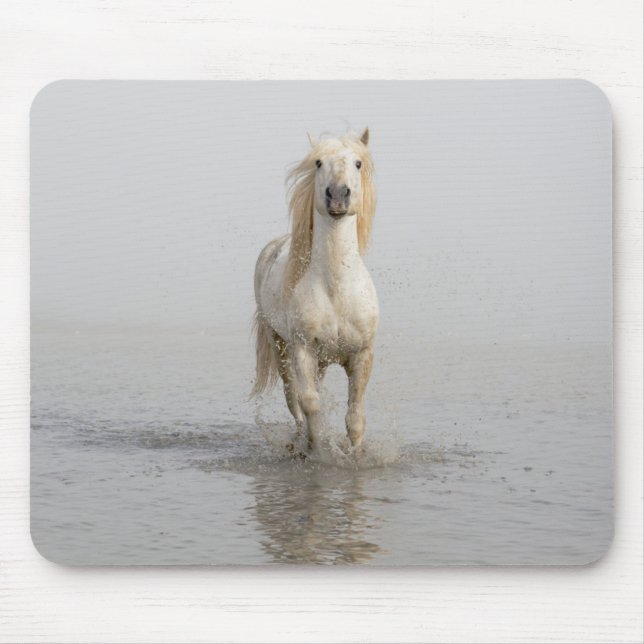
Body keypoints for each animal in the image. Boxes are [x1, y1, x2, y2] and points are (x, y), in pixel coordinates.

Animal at [251, 128, 378, 454]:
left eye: (358, 163)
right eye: (319, 163)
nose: (338, 195)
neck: (336, 290)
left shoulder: (361, 354)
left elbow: (355, 415)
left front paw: (354, 454)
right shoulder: (303, 350)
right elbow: (310, 403)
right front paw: (318, 449)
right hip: (280, 346)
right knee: (293, 398)